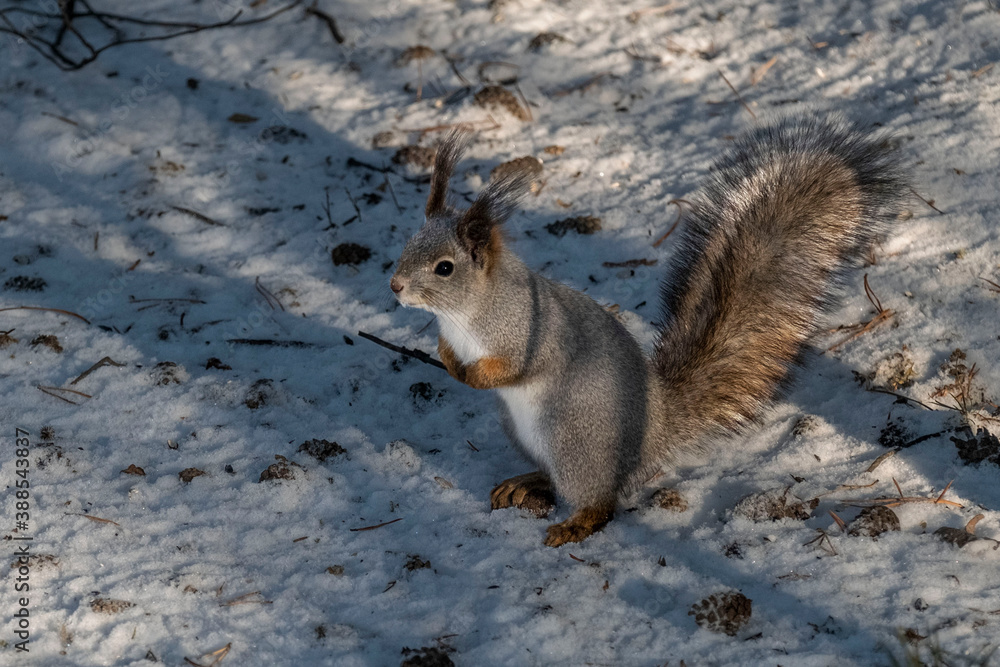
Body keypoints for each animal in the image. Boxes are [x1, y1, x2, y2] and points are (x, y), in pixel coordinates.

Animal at [390, 117, 906, 547]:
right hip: (528, 437)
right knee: (560, 480)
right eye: (407, 245)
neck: (461, 315)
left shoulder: (523, 332)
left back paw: (575, 524)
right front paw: (448, 360)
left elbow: (511, 368)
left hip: (575, 443)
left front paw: (472, 375)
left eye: (444, 268)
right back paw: (526, 481)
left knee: (600, 501)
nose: (394, 286)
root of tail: (655, 431)